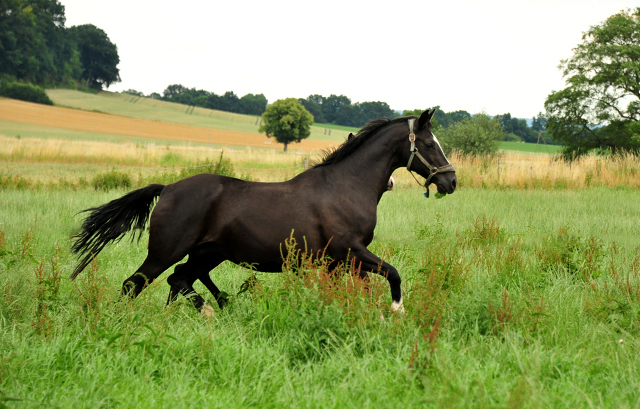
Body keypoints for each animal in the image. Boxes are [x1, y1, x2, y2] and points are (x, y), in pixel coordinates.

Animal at [72, 108, 458, 312]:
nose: (451, 180)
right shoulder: (350, 250)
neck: (345, 186)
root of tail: (167, 188)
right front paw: (396, 312)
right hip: (167, 251)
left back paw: (208, 311)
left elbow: (352, 289)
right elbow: (393, 273)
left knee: (179, 280)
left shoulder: (339, 261)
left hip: (207, 253)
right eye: (428, 144)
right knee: (135, 283)